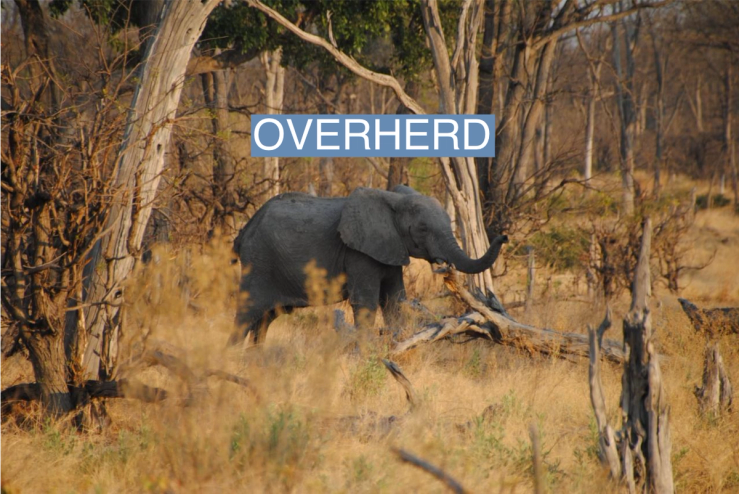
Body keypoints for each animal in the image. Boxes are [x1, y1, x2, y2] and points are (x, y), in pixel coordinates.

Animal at [229, 185, 508, 345]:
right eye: (422, 228)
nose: (504, 237)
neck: (394, 201)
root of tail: (244, 231)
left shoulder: (390, 247)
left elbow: (395, 300)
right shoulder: (358, 253)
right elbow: (366, 301)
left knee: (265, 319)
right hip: (259, 261)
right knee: (247, 313)